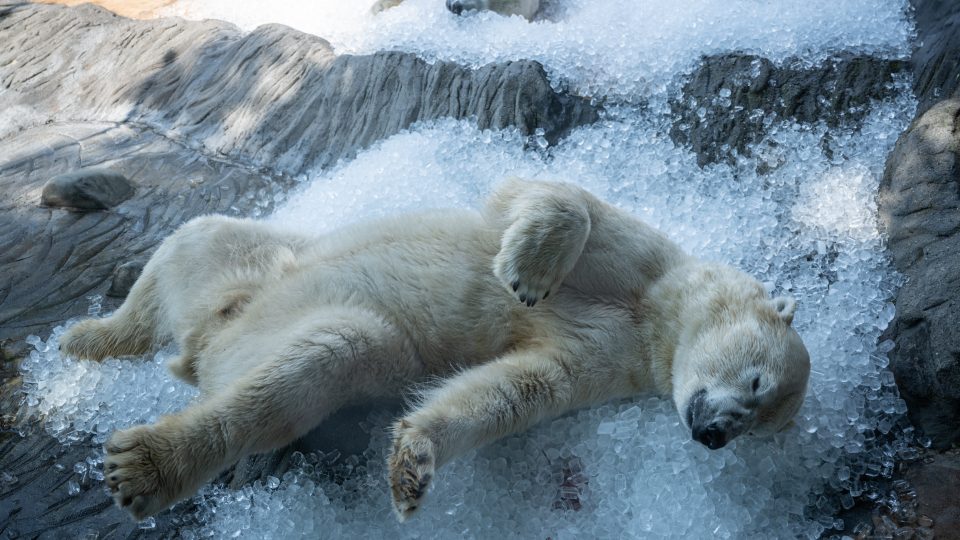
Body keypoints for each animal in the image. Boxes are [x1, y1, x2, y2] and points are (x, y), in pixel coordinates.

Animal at [60, 179, 808, 520]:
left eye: (759, 423)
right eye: (757, 382)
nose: (714, 433)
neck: (653, 316)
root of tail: (203, 345)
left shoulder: (613, 361)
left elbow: (523, 386)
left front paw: (413, 467)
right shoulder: (642, 262)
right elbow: (548, 197)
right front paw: (526, 274)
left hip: (271, 317)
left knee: (336, 353)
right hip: (257, 263)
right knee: (200, 238)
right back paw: (90, 354)